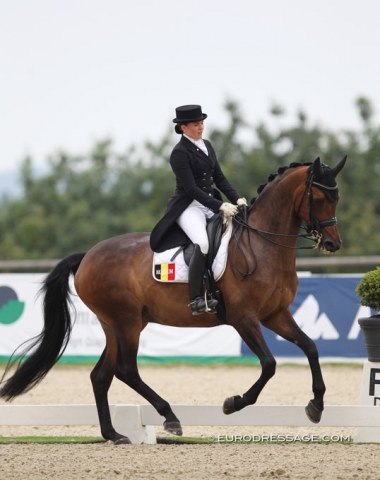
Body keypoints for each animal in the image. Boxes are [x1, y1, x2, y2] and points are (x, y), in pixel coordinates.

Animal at [0, 156, 348, 444]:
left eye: (337, 197)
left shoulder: (276, 314)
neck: (263, 246)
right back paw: (169, 418)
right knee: (126, 370)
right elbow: (269, 364)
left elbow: (310, 347)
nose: (332, 244)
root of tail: (87, 256)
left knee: (101, 375)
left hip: (115, 325)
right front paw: (233, 403)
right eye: (319, 198)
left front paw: (316, 405)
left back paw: (114, 434)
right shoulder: (244, 318)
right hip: (126, 322)